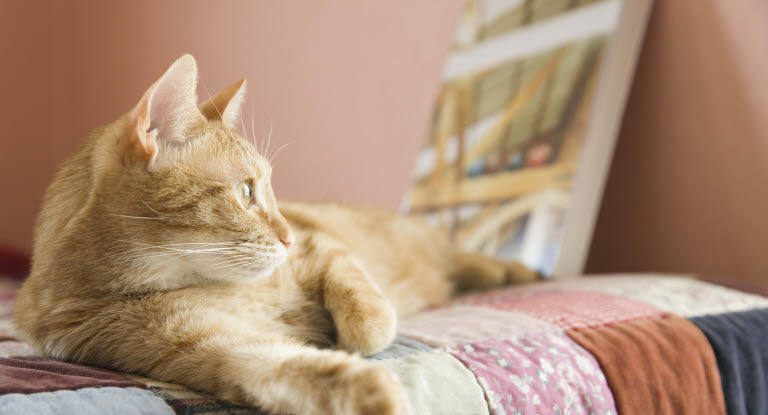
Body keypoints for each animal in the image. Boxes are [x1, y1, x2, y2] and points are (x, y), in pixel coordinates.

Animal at [13, 56, 540, 415]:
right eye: (246, 191)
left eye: (269, 189)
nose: (285, 235)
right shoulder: (198, 345)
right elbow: (274, 365)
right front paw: (366, 389)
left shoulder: (319, 244)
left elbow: (363, 309)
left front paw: (361, 327)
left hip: (441, 252)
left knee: (471, 261)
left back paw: (519, 271)